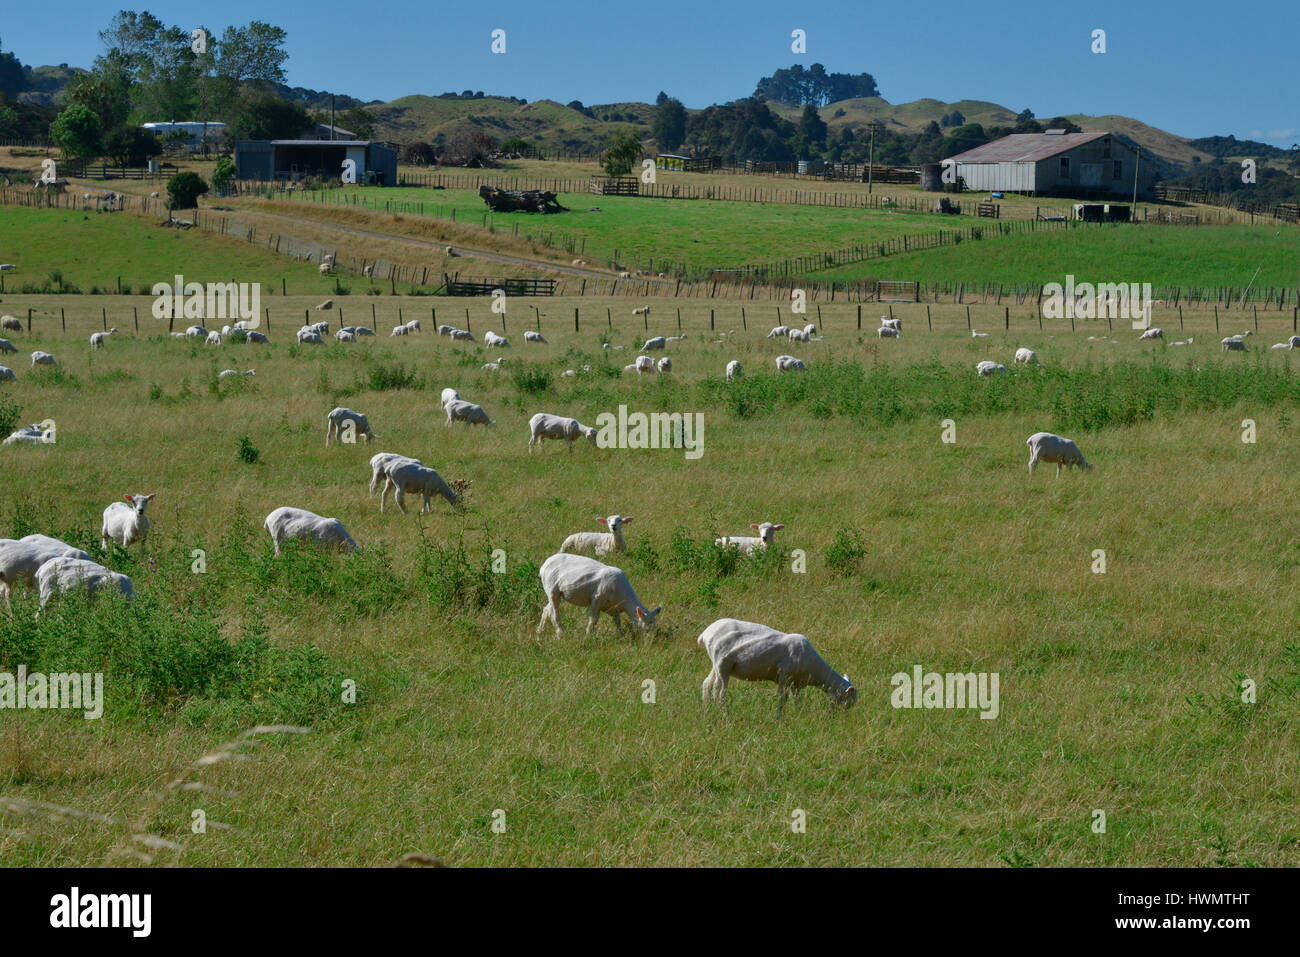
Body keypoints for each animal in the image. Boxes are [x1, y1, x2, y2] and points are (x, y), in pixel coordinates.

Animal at [696, 616, 857, 712]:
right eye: (847, 700)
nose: (841, 717)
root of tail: (706, 632)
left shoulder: (796, 683)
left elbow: (796, 700)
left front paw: (797, 715)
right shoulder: (784, 676)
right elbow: (782, 698)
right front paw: (779, 717)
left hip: (716, 664)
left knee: (707, 684)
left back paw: (707, 710)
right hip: (723, 665)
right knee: (720, 692)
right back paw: (724, 714)